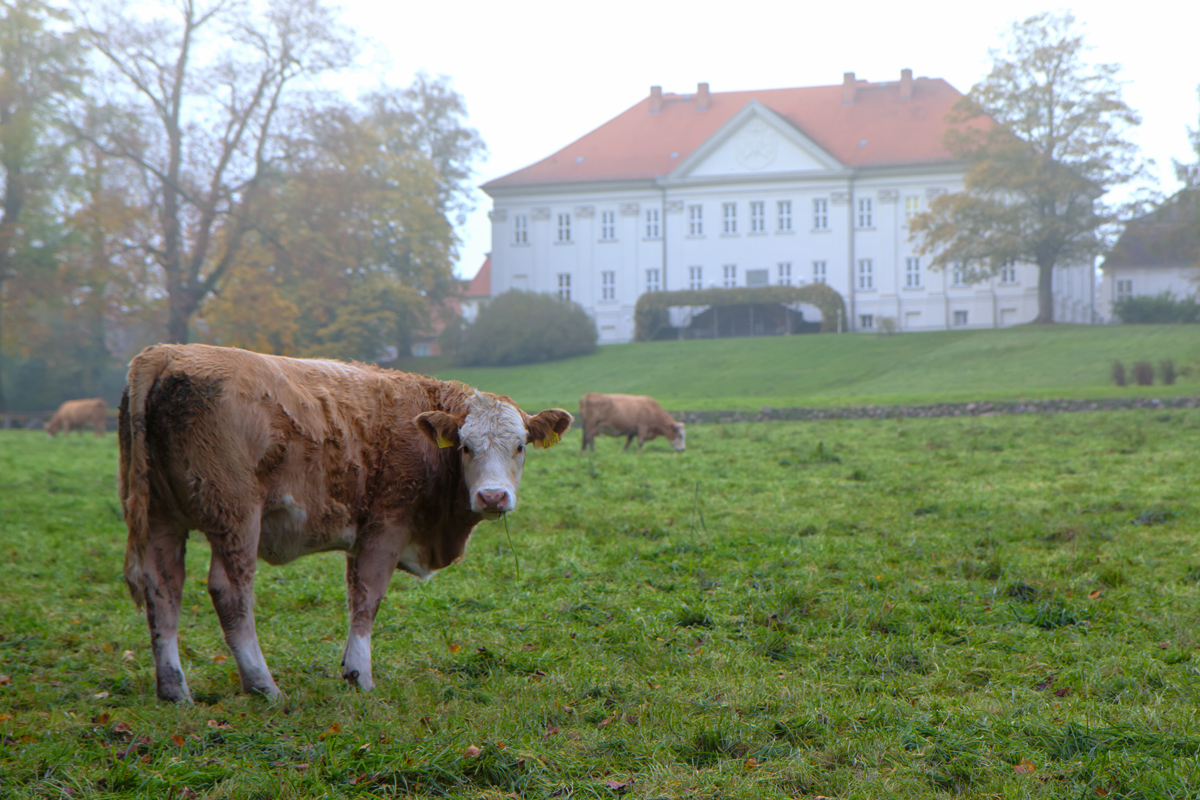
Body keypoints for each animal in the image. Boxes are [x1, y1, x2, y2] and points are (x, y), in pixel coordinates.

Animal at [119, 345, 568, 700]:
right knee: (230, 591)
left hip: (161, 518)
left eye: (520, 445)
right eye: (465, 446)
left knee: (163, 589)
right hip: (237, 515)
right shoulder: (386, 528)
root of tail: (168, 352)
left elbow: (355, 595)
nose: (492, 496)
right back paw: (264, 686)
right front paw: (359, 675)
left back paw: (174, 690)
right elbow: (368, 597)